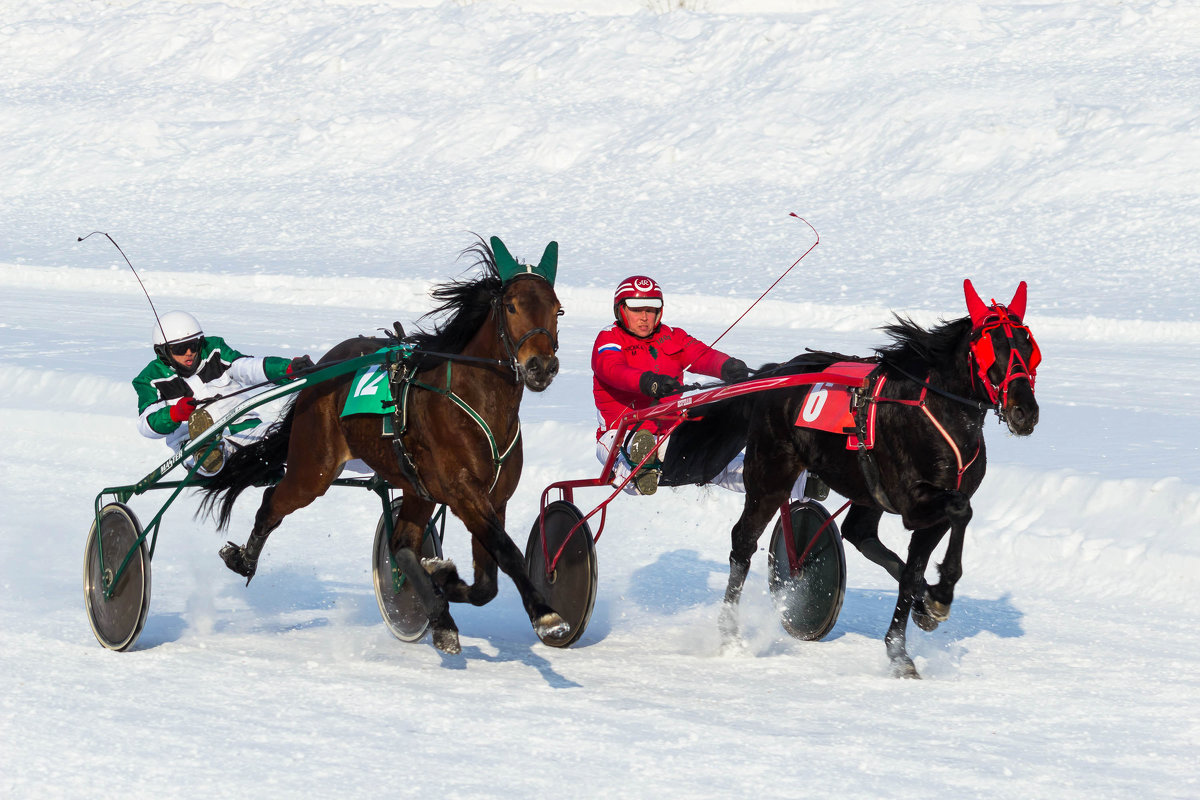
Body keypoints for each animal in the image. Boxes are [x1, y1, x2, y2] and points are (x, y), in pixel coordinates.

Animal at [198, 235, 571, 652]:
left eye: (557, 309)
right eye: (511, 305)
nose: (541, 366)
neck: (476, 401)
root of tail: (325, 367)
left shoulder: (495, 497)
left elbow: (486, 583)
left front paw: (442, 579)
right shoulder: (463, 492)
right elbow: (507, 552)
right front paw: (547, 615)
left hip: (416, 488)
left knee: (402, 545)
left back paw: (438, 609)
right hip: (314, 469)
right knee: (272, 502)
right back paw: (243, 559)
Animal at [667, 280, 1041, 676]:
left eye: (1028, 346)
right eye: (990, 347)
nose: (1025, 411)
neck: (937, 412)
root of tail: (776, 372)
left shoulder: (930, 506)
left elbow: (913, 570)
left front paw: (906, 642)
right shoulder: (914, 503)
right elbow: (960, 510)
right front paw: (940, 595)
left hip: (864, 490)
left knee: (859, 533)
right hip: (770, 474)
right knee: (744, 540)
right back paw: (730, 634)